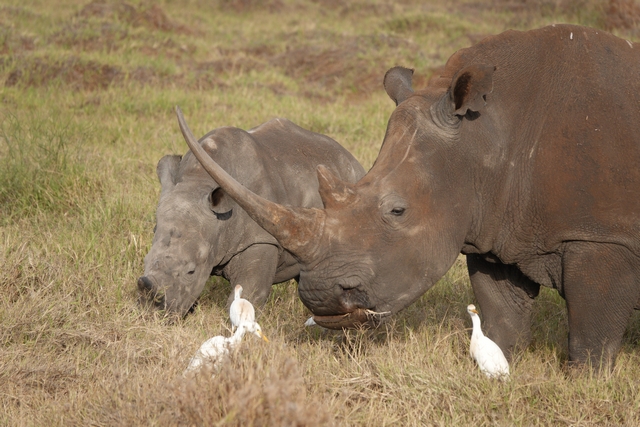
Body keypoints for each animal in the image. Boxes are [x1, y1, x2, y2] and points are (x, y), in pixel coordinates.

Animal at [137, 117, 365, 315]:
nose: (154, 314)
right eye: (145, 260)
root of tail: (353, 160)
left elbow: (248, 297)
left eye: (191, 271)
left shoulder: (261, 238)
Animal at [176, 24, 640, 368]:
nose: (320, 297)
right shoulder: (497, 227)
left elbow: (590, 336)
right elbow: (502, 318)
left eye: (397, 211)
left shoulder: (602, 237)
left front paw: (584, 382)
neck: (490, 136)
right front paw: (497, 365)